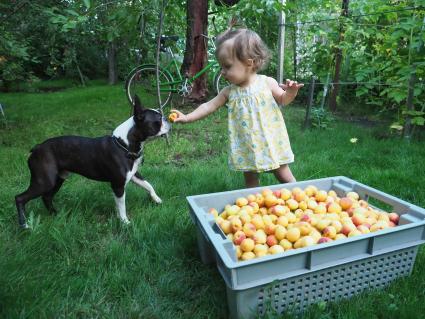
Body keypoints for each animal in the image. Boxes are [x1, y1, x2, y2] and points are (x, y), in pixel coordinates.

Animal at [14, 96, 171, 229]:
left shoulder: (133, 174)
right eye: (158, 119)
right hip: (44, 181)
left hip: (58, 179)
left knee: (46, 197)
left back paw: (55, 214)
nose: (167, 119)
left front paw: (157, 199)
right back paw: (24, 224)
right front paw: (124, 222)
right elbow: (122, 206)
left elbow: (148, 185)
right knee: (20, 198)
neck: (124, 144)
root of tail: (37, 147)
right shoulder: (118, 185)